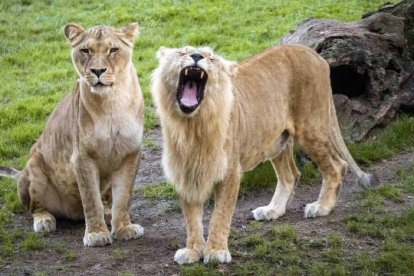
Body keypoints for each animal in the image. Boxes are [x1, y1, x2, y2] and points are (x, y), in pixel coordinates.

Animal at [0, 22, 145, 247]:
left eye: (113, 50)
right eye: (85, 51)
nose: (97, 70)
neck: (112, 101)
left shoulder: (130, 154)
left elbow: (122, 197)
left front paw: (123, 228)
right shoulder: (82, 158)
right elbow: (90, 199)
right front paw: (96, 234)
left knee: (106, 201)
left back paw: (108, 214)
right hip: (34, 165)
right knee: (35, 208)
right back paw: (44, 221)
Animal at [151, 44, 376, 264]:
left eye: (211, 57)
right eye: (182, 52)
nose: (197, 56)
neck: (192, 126)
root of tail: (313, 53)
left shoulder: (230, 171)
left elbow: (220, 215)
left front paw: (215, 251)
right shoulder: (185, 172)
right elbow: (191, 219)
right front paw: (192, 251)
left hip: (310, 128)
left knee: (338, 165)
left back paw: (322, 207)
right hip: (278, 140)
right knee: (291, 176)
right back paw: (272, 210)